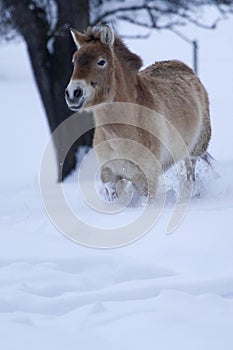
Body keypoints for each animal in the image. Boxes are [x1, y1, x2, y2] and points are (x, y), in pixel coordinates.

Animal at [65, 25, 211, 200]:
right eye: (74, 61)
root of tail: (183, 67)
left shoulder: (147, 176)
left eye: (101, 62)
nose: (73, 93)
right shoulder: (110, 176)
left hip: (193, 151)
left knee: (189, 175)